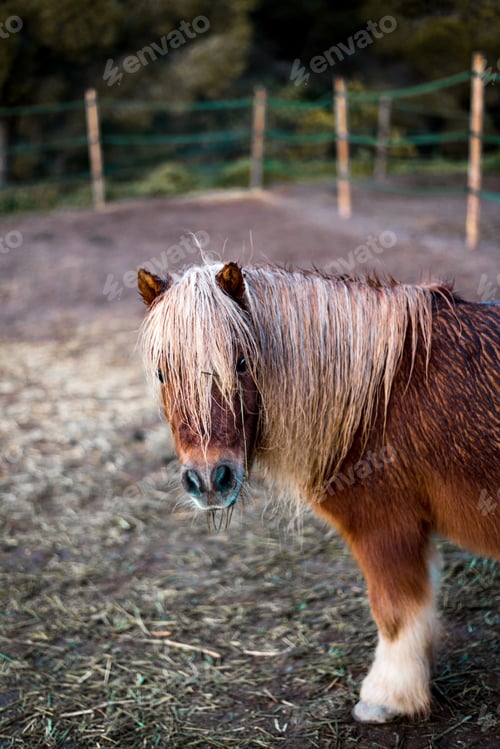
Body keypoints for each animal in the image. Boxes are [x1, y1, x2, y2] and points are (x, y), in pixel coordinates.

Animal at [137, 261, 499, 723]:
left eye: (241, 363)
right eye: (162, 372)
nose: (208, 480)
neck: (379, 397)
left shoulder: (386, 527)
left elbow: (395, 611)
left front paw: (386, 698)